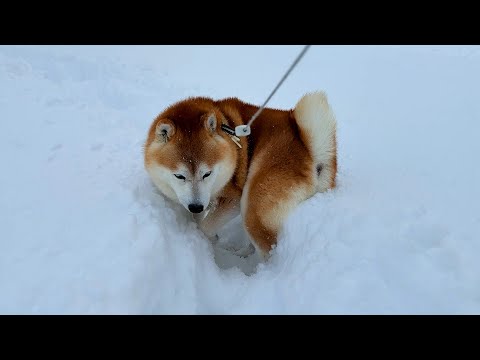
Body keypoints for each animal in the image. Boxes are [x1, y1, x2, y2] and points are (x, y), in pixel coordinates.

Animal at [144, 91, 336, 260]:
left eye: (207, 174)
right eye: (179, 176)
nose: (196, 206)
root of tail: (310, 154)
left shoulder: (233, 200)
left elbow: (205, 227)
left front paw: (209, 238)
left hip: (252, 204)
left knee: (268, 249)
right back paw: (242, 253)